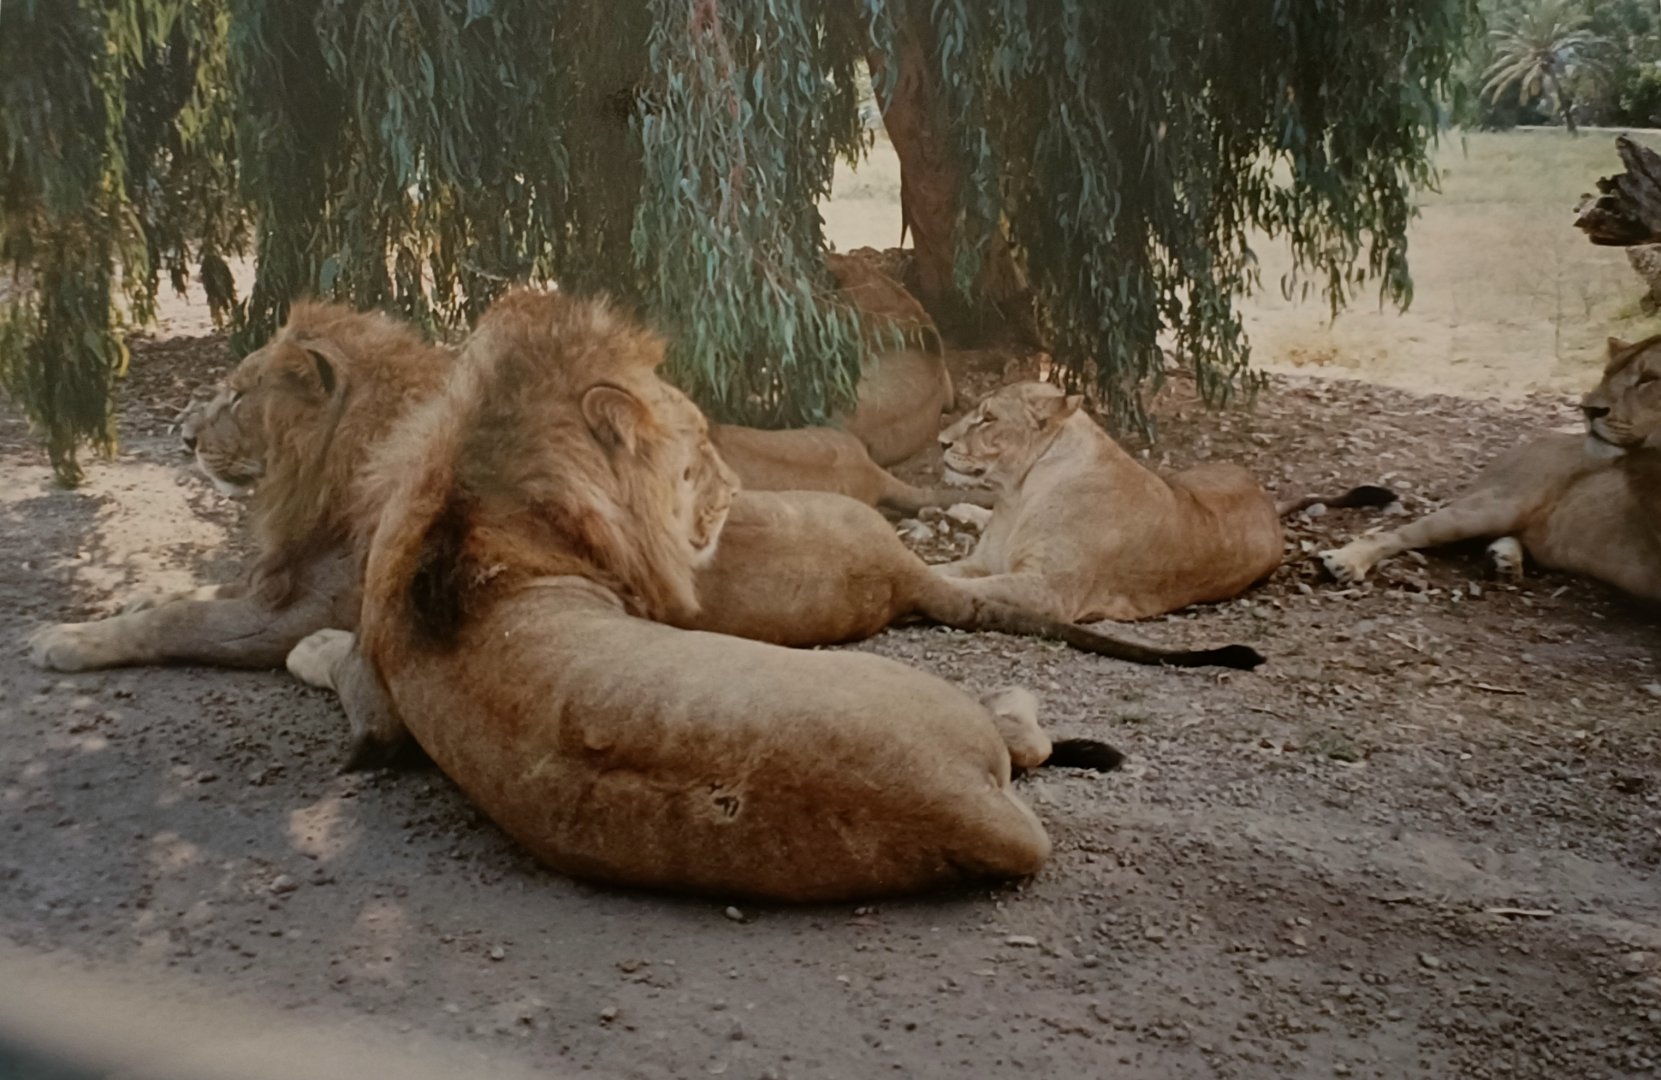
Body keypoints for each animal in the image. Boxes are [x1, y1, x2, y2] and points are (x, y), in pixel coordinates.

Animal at [27, 302, 451, 673]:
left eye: (237, 398)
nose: (186, 439)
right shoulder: (276, 578)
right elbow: (212, 589)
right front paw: (149, 597)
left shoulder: (306, 612)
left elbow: (180, 620)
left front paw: (69, 638)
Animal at [349, 288, 1123, 902]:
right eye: (694, 448)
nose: (732, 490)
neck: (470, 489)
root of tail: (965, 807)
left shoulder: (378, 687)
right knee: (1024, 738)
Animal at [933, 381, 1395, 622]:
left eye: (987, 418)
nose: (940, 442)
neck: (1018, 493)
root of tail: (1265, 500)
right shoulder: (984, 561)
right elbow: (943, 569)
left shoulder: (1050, 591)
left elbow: (971, 585)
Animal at [1320, 335, 1661, 600]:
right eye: (1607, 373)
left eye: (1648, 378)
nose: (1588, 408)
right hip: (1498, 504)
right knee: (1393, 534)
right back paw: (1345, 561)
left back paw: (1505, 561)